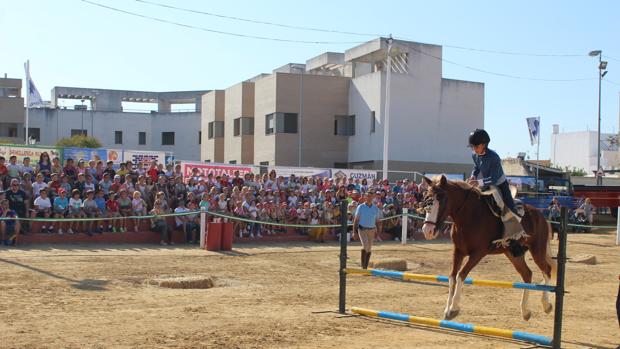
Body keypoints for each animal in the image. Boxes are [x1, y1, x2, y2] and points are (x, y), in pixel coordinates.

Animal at [422, 175, 556, 320]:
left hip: (537, 250)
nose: (427, 230)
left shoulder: (478, 253)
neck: (470, 215)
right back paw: (525, 311)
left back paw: (546, 305)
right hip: (513, 253)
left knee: (547, 270)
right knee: (527, 274)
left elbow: (461, 274)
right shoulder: (458, 251)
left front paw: (454, 308)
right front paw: (447, 310)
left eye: (441, 199)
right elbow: (452, 277)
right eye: (426, 198)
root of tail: (540, 216)